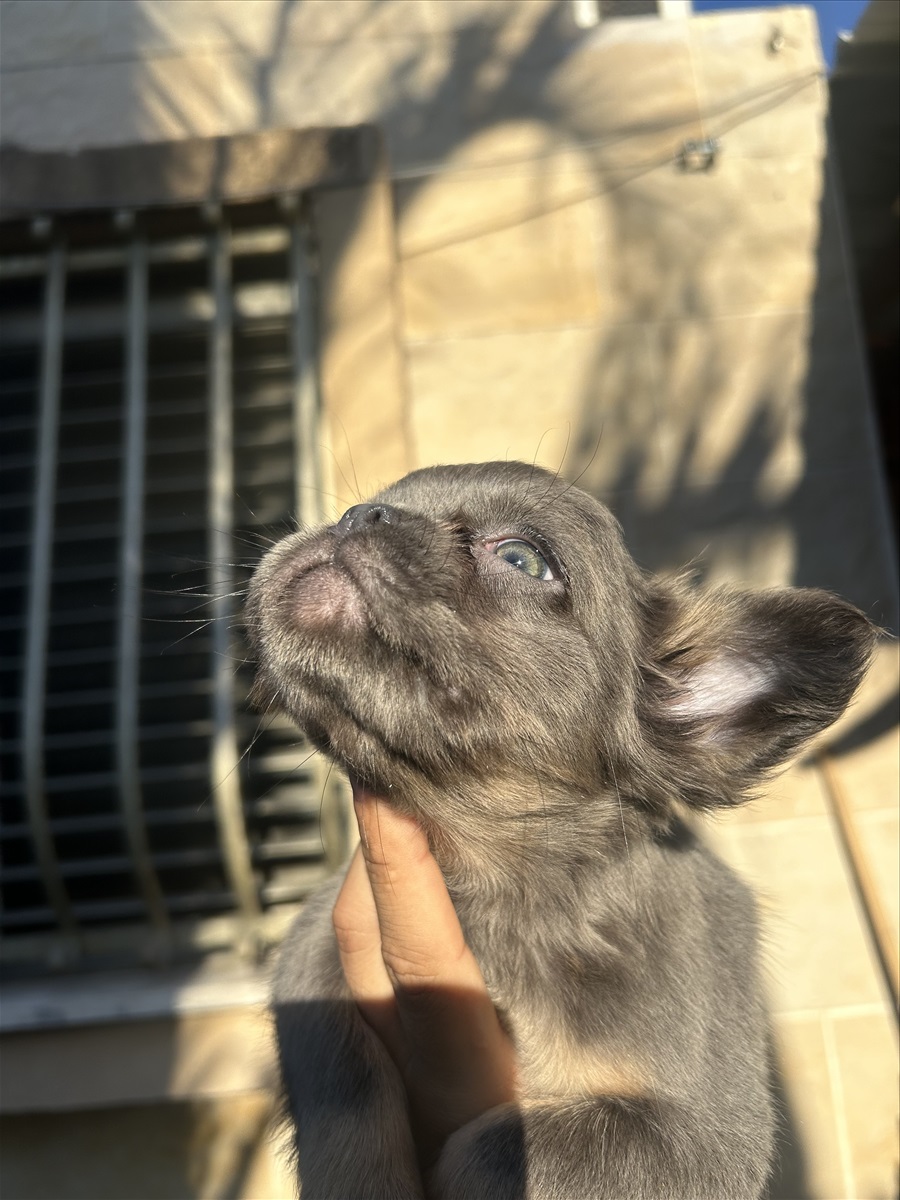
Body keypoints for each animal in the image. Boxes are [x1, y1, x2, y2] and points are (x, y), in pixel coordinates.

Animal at [244, 460, 873, 1200]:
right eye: (368, 504)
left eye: (524, 558)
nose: (358, 516)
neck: (492, 884)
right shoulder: (316, 945)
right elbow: (343, 1079)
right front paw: (362, 1181)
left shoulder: (697, 1141)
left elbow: (500, 1147)